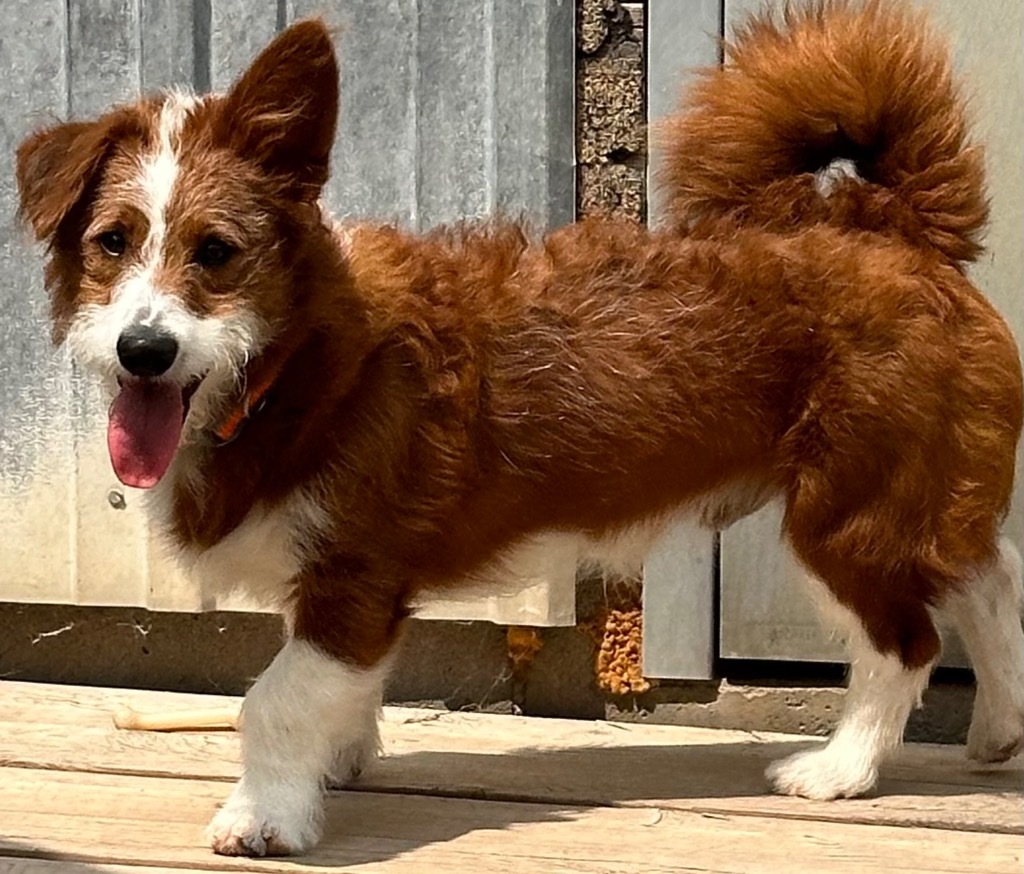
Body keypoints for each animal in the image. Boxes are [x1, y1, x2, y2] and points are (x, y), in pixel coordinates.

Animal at [14, 0, 1024, 863]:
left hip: (846, 515)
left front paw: (267, 816)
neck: (291, 364)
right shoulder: (357, 596)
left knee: (908, 641)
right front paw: (333, 764)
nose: (145, 350)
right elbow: (340, 687)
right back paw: (997, 730)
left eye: (217, 252)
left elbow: (278, 698)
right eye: (112, 243)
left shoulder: (352, 575)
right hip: (918, 492)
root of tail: (894, 226)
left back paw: (842, 770)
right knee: (989, 578)